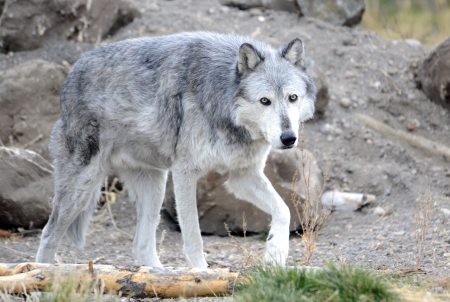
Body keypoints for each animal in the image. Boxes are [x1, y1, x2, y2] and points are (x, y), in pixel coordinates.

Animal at [36, 31, 316, 266]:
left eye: (292, 98)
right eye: (265, 101)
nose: (288, 138)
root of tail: (73, 71)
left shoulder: (242, 176)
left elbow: (284, 210)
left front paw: (276, 253)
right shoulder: (185, 173)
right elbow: (193, 237)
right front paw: (202, 276)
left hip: (155, 188)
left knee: (141, 246)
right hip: (82, 189)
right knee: (48, 234)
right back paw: (41, 276)